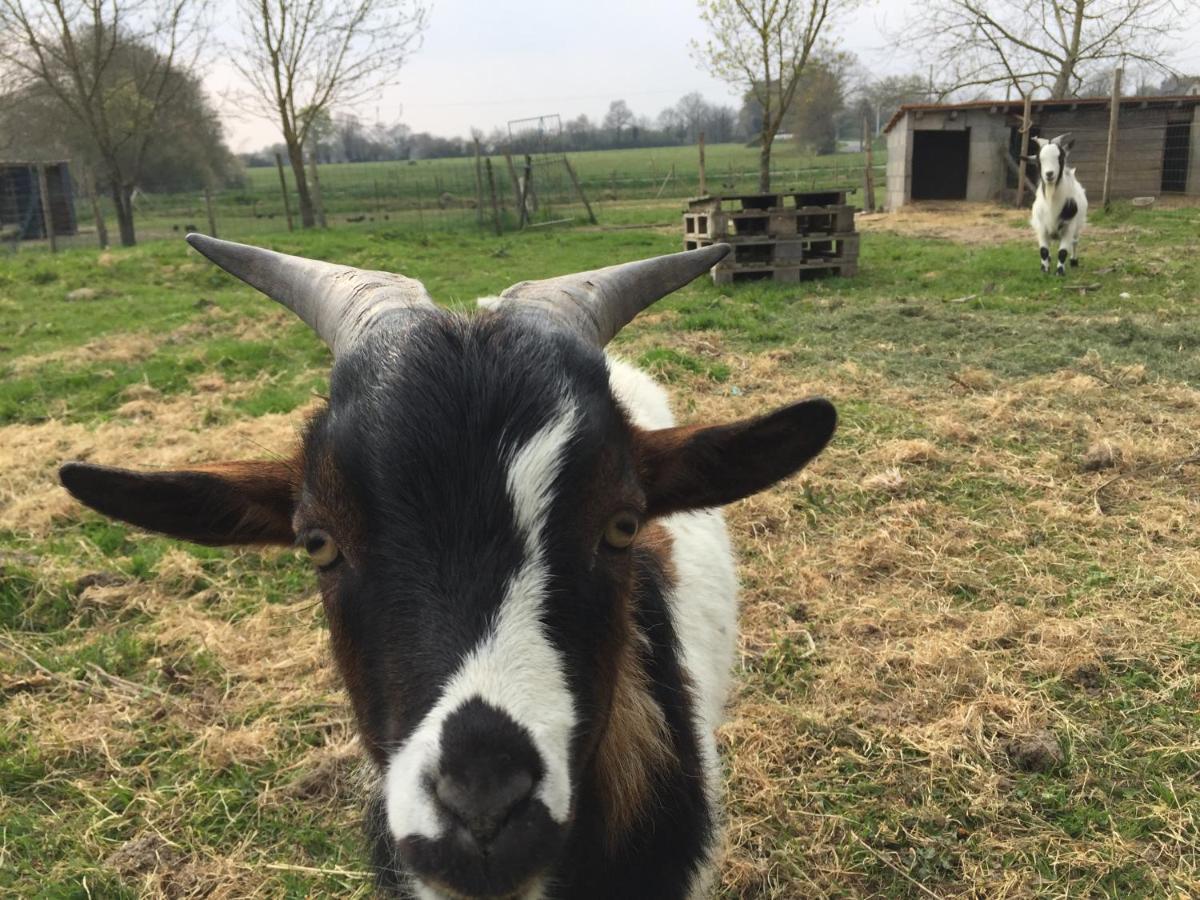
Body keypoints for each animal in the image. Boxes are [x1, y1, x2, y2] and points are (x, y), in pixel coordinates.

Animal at [1027, 133, 1084, 274]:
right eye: (1039, 160)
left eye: (1061, 157)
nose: (1049, 174)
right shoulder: (1041, 226)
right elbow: (1043, 250)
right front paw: (1044, 269)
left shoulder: (1069, 226)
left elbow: (1063, 252)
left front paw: (1060, 272)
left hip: (1078, 225)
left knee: (1075, 242)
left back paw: (1074, 261)